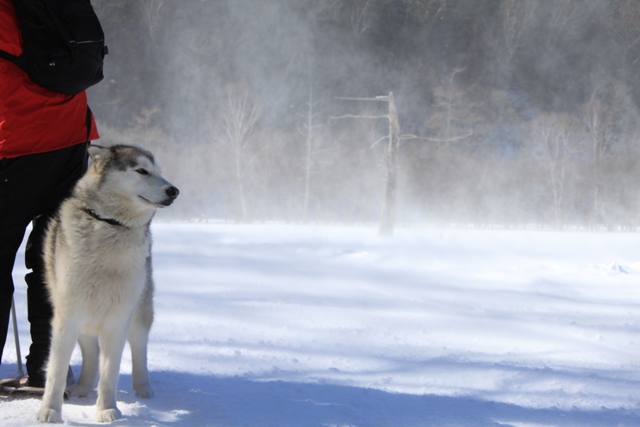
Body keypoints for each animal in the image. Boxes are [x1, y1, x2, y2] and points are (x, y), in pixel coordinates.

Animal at [37, 145, 179, 424]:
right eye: (142, 170)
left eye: (159, 172)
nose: (174, 190)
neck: (110, 225)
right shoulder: (67, 318)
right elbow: (56, 371)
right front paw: (50, 411)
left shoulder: (118, 321)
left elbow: (110, 373)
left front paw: (107, 410)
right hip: (82, 320)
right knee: (90, 354)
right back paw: (82, 387)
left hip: (139, 314)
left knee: (139, 351)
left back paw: (143, 389)